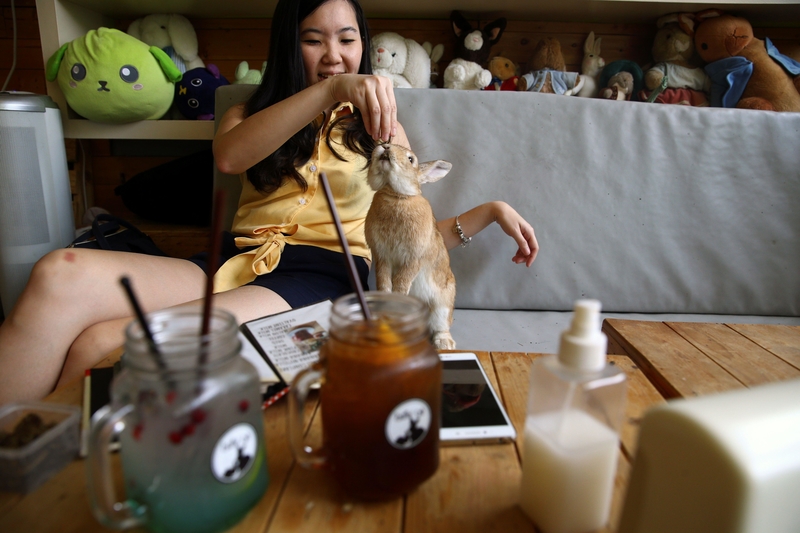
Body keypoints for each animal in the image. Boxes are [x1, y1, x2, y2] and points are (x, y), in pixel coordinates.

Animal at [364, 142, 456, 350]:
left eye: (411, 159)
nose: (385, 146)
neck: (396, 196)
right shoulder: (382, 256)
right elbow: (384, 281)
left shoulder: (414, 258)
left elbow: (401, 282)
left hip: (442, 303)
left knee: (441, 324)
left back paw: (444, 343)